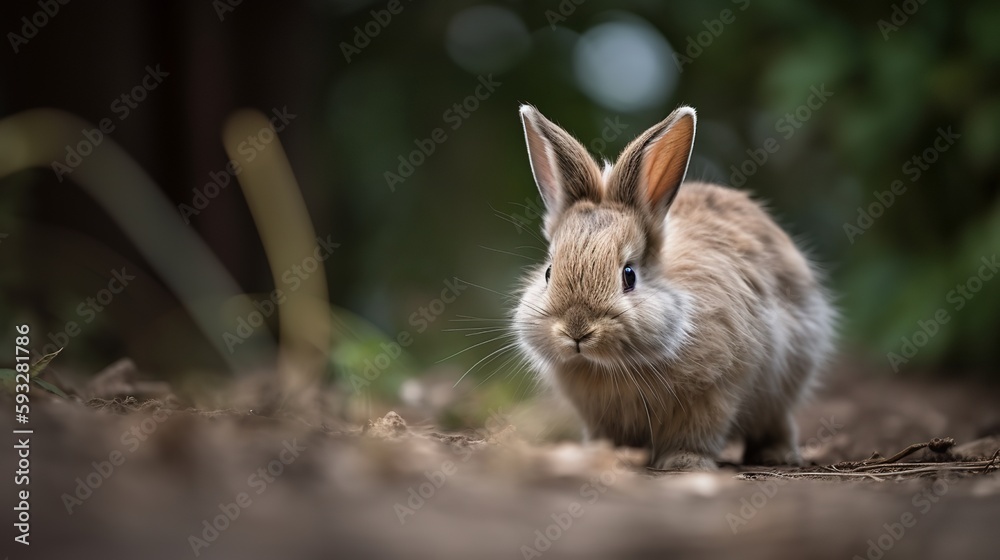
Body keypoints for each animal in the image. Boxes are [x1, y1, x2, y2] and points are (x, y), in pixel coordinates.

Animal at [513, 104, 835, 471]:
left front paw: (685, 462)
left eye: (629, 275)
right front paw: (605, 456)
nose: (577, 330)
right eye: (548, 272)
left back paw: (777, 454)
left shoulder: (713, 392)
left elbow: (697, 433)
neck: (613, 367)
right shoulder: (600, 416)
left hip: (786, 382)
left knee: (777, 421)